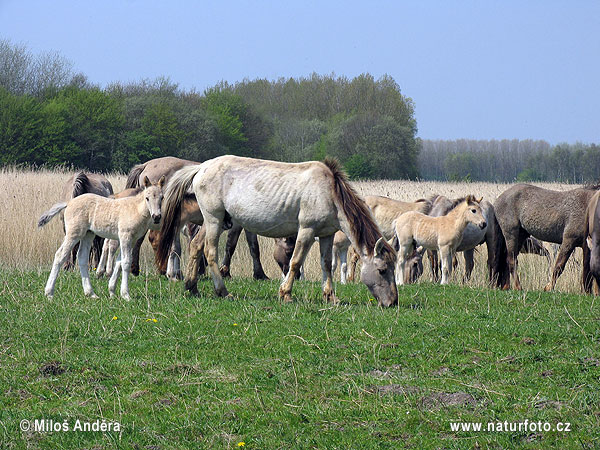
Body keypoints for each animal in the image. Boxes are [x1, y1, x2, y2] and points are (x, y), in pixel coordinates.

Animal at [126, 156, 268, 280]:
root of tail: (146, 165)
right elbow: (231, 245)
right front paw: (225, 272)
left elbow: (253, 247)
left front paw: (259, 274)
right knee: (155, 239)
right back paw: (162, 269)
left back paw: (136, 269)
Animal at [157, 156, 398, 308]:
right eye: (383, 270)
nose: (393, 302)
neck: (329, 191)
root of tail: (201, 168)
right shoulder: (307, 231)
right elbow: (295, 262)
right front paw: (286, 294)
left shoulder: (326, 235)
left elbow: (326, 265)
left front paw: (331, 297)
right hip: (214, 220)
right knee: (210, 252)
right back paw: (223, 291)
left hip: (211, 221)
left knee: (196, 246)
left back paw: (192, 287)